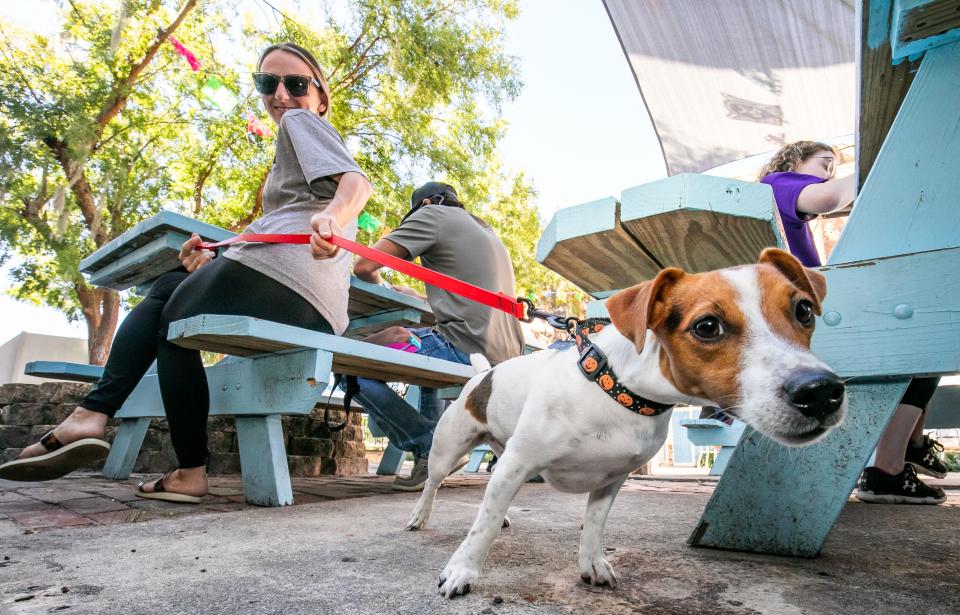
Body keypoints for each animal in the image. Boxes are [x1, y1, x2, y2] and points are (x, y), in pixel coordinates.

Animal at [404, 249, 848, 596]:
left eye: (803, 310)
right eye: (707, 326)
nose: (821, 391)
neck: (618, 390)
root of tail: (483, 374)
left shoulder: (611, 479)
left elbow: (592, 526)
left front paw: (592, 563)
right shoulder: (518, 463)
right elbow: (483, 527)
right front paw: (462, 571)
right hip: (450, 452)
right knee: (434, 484)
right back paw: (419, 516)